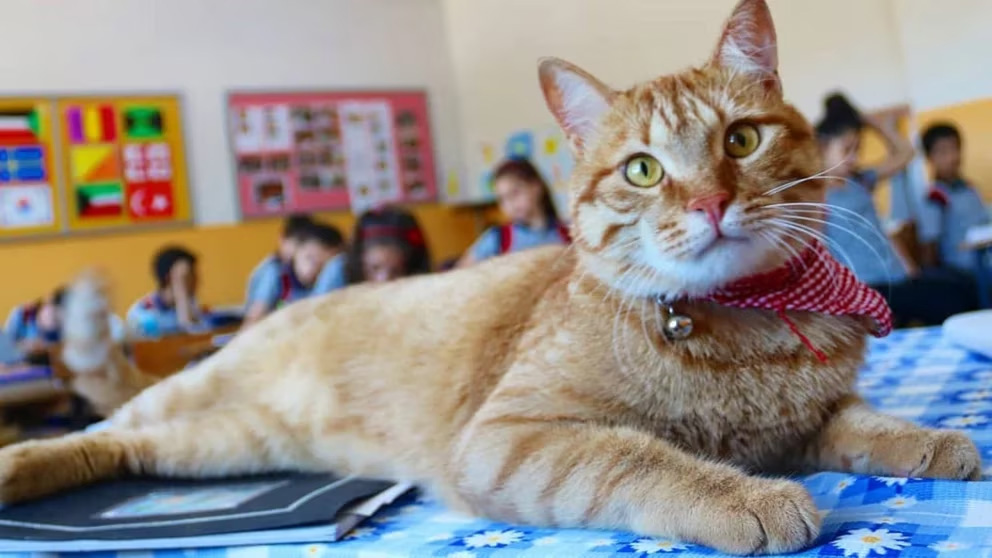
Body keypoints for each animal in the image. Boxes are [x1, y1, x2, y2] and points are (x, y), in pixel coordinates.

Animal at [0, 2, 980, 556]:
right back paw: (19, 464)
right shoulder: (513, 436)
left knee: (124, 448)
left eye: (740, 140)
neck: (742, 323)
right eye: (643, 170)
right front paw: (741, 496)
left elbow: (864, 423)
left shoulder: (810, 418)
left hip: (227, 441)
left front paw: (931, 441)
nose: (709, 202)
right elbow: (639, 460)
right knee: (97, 429)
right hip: (195, 396)